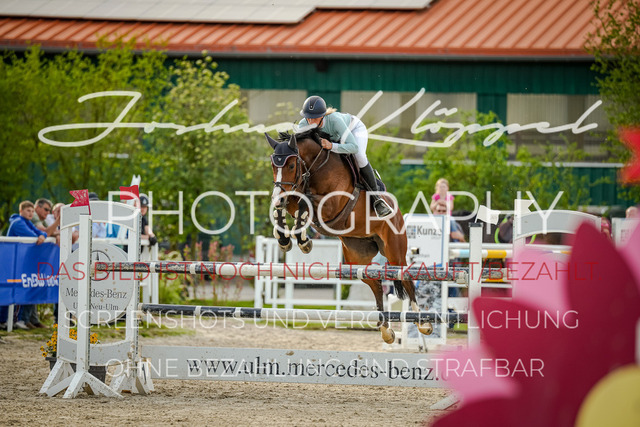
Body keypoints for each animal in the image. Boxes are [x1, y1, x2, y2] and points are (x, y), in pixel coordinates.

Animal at [265, 128, 433, 343]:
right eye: (272, 165)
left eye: (292, 165)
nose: (277, 197)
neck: (316, 168)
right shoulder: (293, 195)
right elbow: (292, 205)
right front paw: (286, 239)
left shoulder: (332, 204)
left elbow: (305, 201)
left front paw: (303, 242)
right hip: (357, 259)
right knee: (376, 284)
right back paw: (386, 330)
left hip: (395, 251)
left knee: (406, 279)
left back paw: (422, 323)